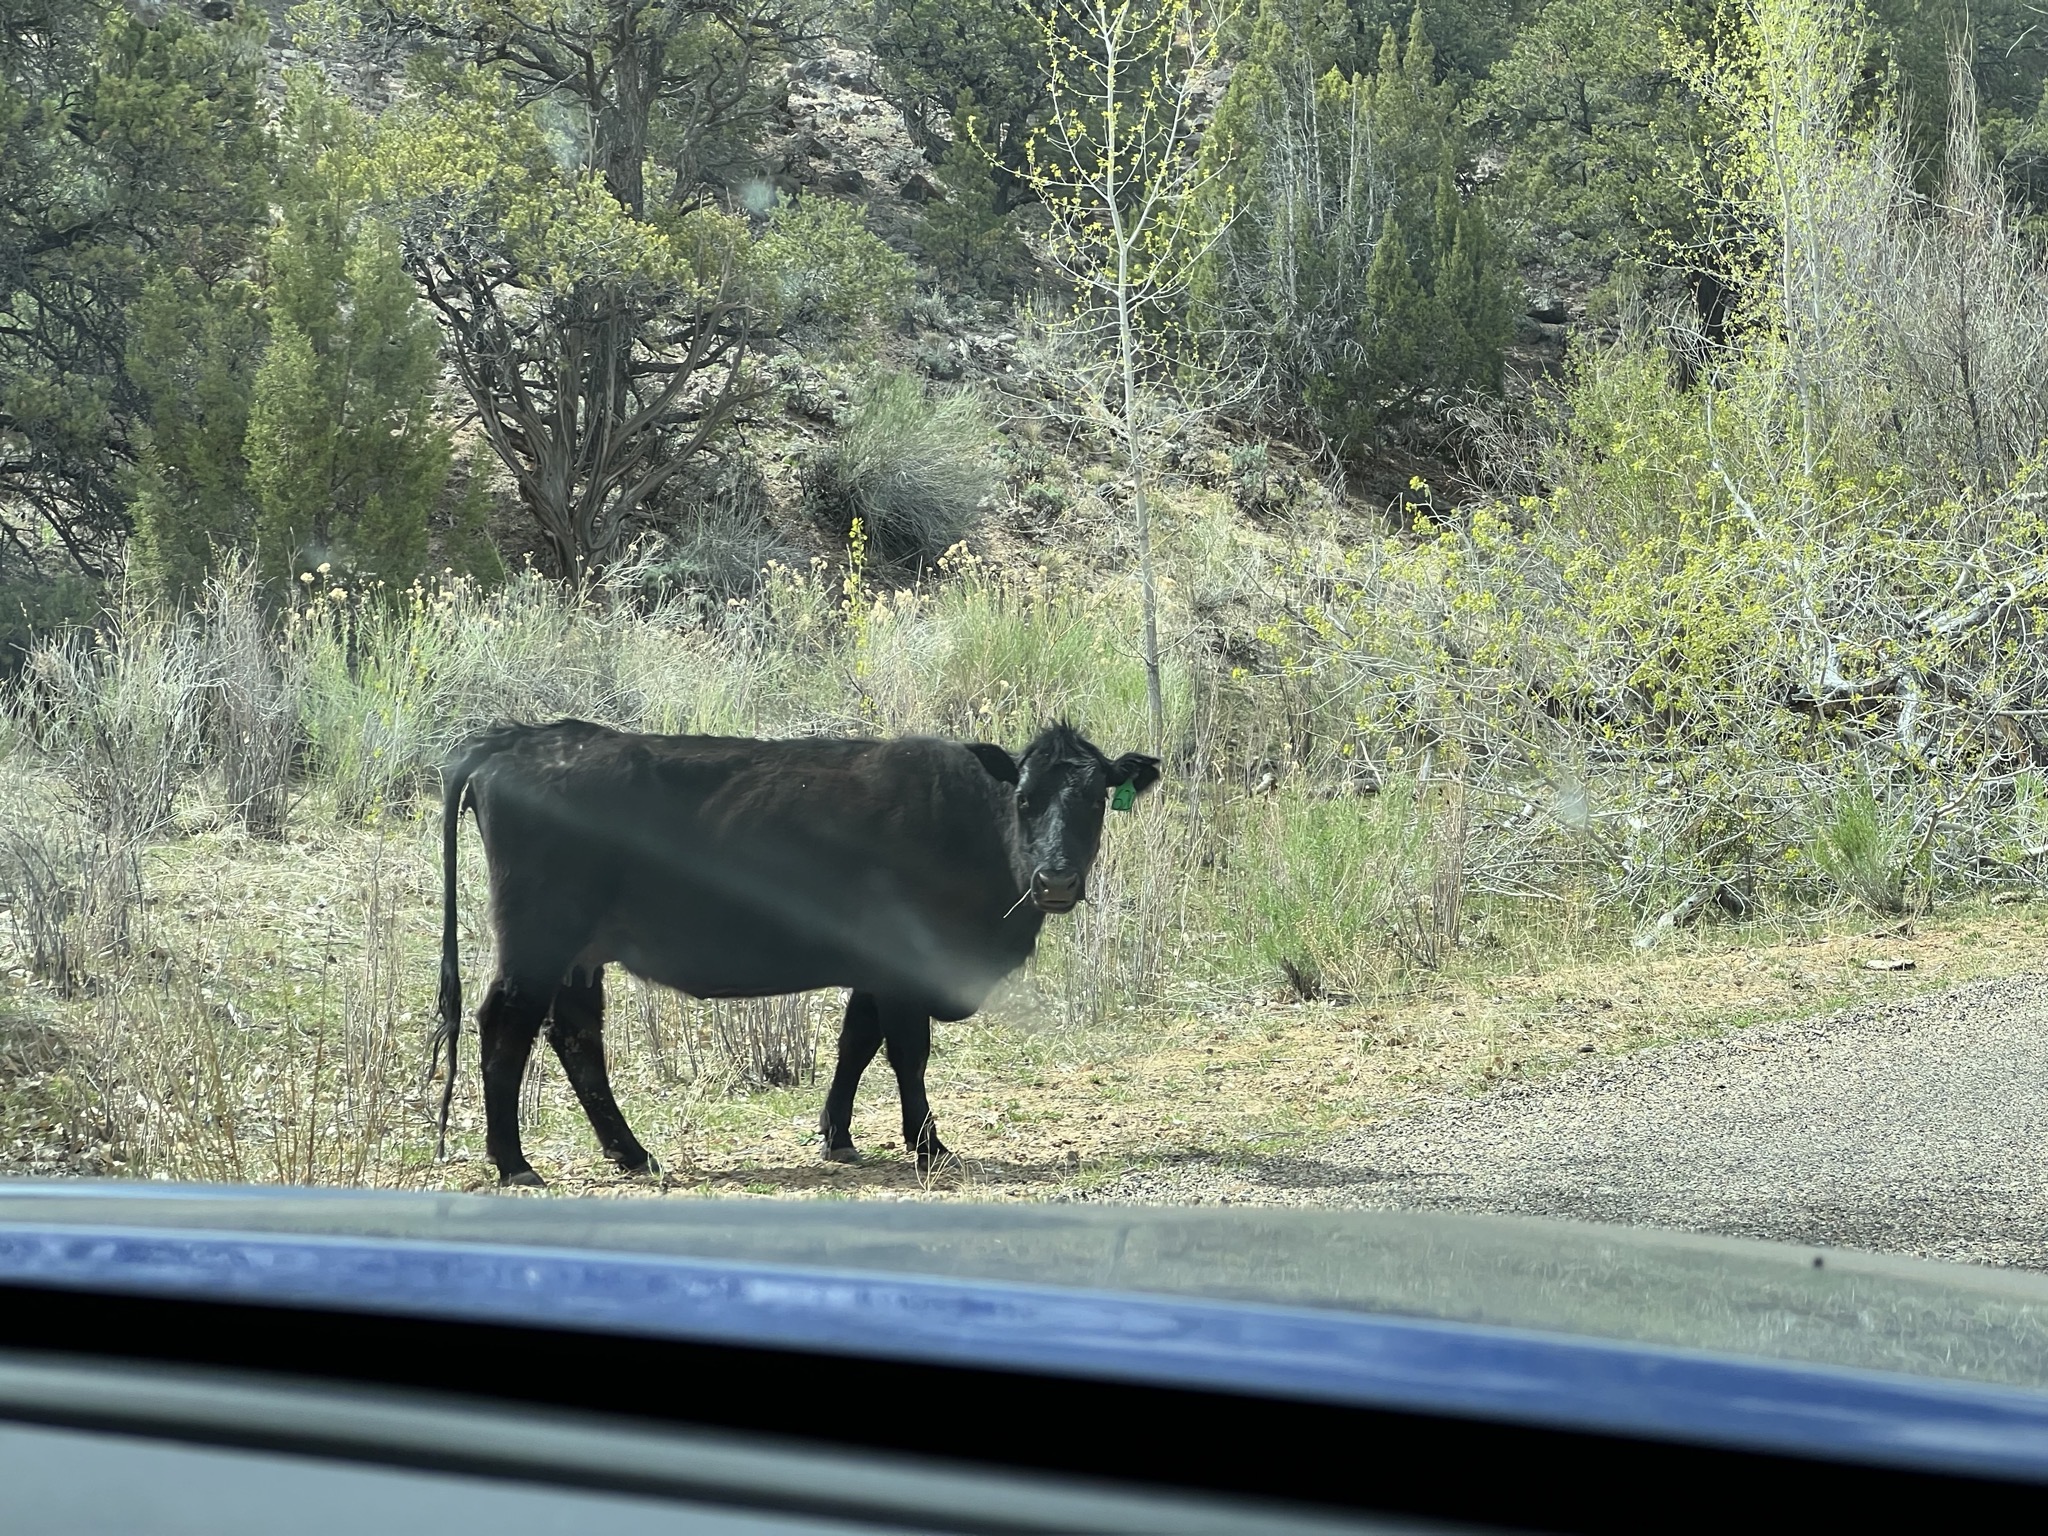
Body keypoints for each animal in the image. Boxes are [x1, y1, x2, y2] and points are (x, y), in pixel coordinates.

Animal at [431, 719, 1161, 1186]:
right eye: (1025, 799)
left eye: (1096, 800)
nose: (1056, 881)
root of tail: (521, 737)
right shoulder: (906, 965)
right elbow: (907, 1053)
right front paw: (929, 1147)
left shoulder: (876, 970)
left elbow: (856, 1042)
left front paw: (838, 1136)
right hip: (537, 939)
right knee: (506, 1027)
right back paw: (515, 1164)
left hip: (581, 951)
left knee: (576, 1037)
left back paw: (633, 1155)